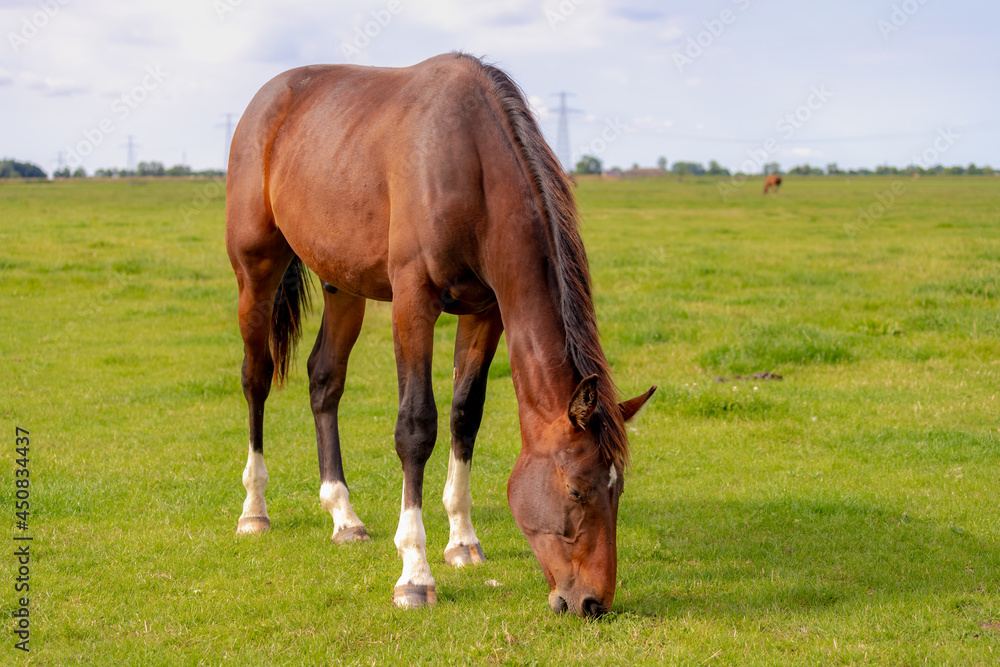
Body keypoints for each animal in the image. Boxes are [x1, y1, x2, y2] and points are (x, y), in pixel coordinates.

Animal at [225, 53, 655, 617]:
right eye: (578, 491)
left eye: (618, 490)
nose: (591, 603)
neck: (469, 166)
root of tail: (267, 98)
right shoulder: (414, 303)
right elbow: (416, 426)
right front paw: (415, 572)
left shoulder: (486, 311)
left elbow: (464, 416)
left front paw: (463, 541)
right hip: (256, 269)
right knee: (255, 379)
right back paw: (254, 510)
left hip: (343, 284)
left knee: (324, 380)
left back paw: (344, 515)